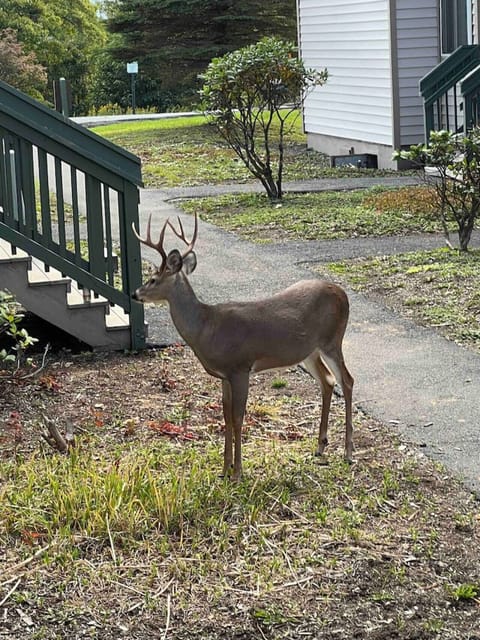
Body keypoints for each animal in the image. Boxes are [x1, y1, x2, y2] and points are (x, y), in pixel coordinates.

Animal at [132, 213, 354, 480]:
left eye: (153, 279)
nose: (135, 294)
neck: (206, 327)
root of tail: (343, 293)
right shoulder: (224, 375)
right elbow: (226, 417)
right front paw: (224, 469)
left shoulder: (240, 367)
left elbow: (238, 417)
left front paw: (237, 472)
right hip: (309, 351)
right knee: (328, 381)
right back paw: (320, 446)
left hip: (332, 340)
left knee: (347, 380)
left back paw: (348, 452)